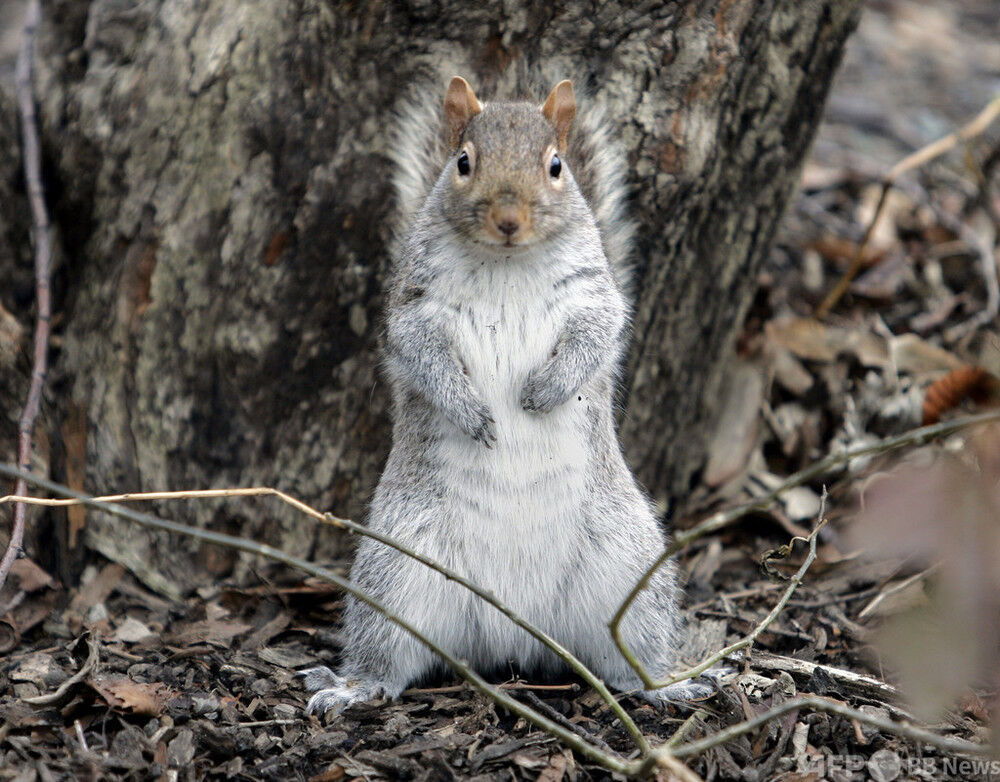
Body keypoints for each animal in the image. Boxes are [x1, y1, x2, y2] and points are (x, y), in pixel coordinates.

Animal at [302, 72, 717, 713]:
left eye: (556, 166)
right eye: (463, 162)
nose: (507, 218)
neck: (507, 262)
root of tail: (515, 633)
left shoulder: (594, 296)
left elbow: (599, 333)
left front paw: (547, 390)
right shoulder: (415, 306)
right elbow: (421, 351)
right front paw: (470, 410)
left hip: (628, 569)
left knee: (627, 655)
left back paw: (664, 685)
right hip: (398, 568)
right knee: (388, 653)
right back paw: (353, 685)